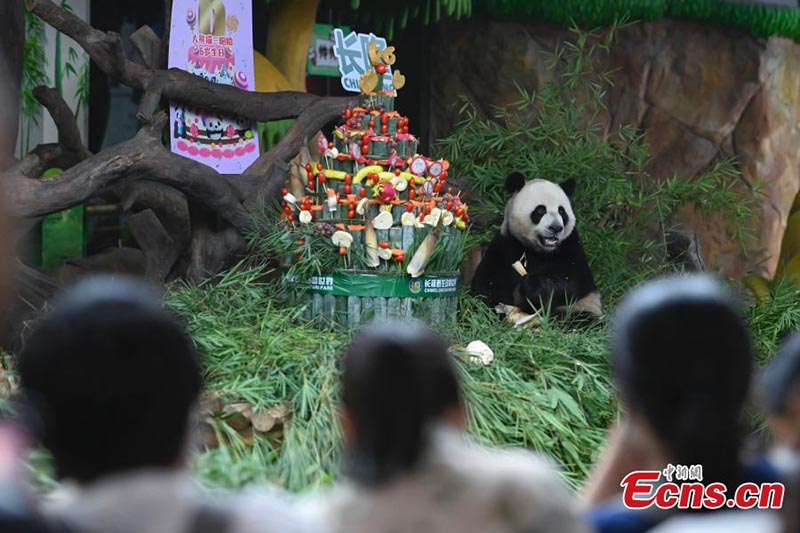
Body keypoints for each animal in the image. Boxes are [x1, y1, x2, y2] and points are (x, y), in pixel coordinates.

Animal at [468, 172, 600, 318]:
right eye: (540, 210)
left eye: (561, 211)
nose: (556, 228)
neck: (540, 251)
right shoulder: (506, 243)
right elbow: (488, 281)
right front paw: (498, 310)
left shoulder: (570, 244)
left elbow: (574, 280)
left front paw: (531, 285)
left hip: (581, 306)